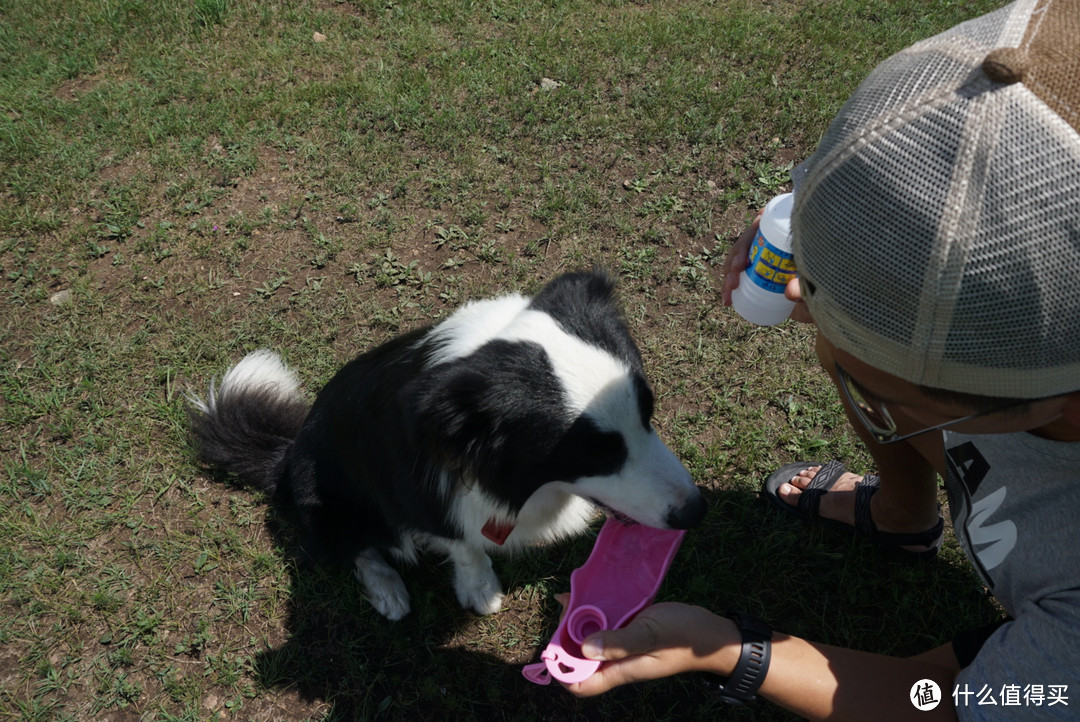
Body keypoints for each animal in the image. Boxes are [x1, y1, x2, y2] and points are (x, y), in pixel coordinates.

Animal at [187, 269, 708, 621]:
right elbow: (464, 544)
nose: (695, 512)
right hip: (326, 497)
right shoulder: (417, 498)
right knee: (356, 549)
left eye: (648, 413)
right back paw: (388, 590)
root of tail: (286, 454)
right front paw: (479, 588)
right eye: (595, 451)